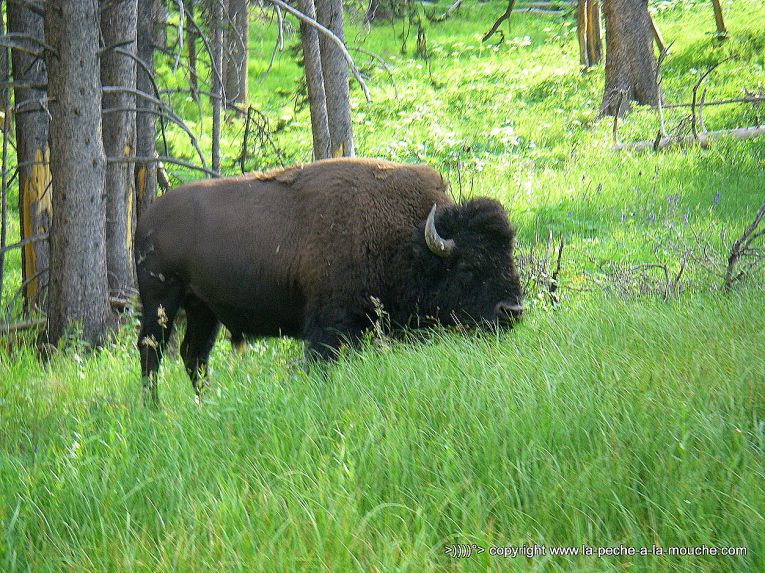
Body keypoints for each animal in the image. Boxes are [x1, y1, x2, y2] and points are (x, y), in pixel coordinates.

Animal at [135, 158, 522, 403]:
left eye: (509, 256)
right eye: (468, 267)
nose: (512, 310)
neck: (408, 239)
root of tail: (146, 217)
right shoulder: (330, 328)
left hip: (204, 309)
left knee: (194, 355)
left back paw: (206, 403)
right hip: (162, 300)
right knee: (151, 352)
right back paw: (154, 410)